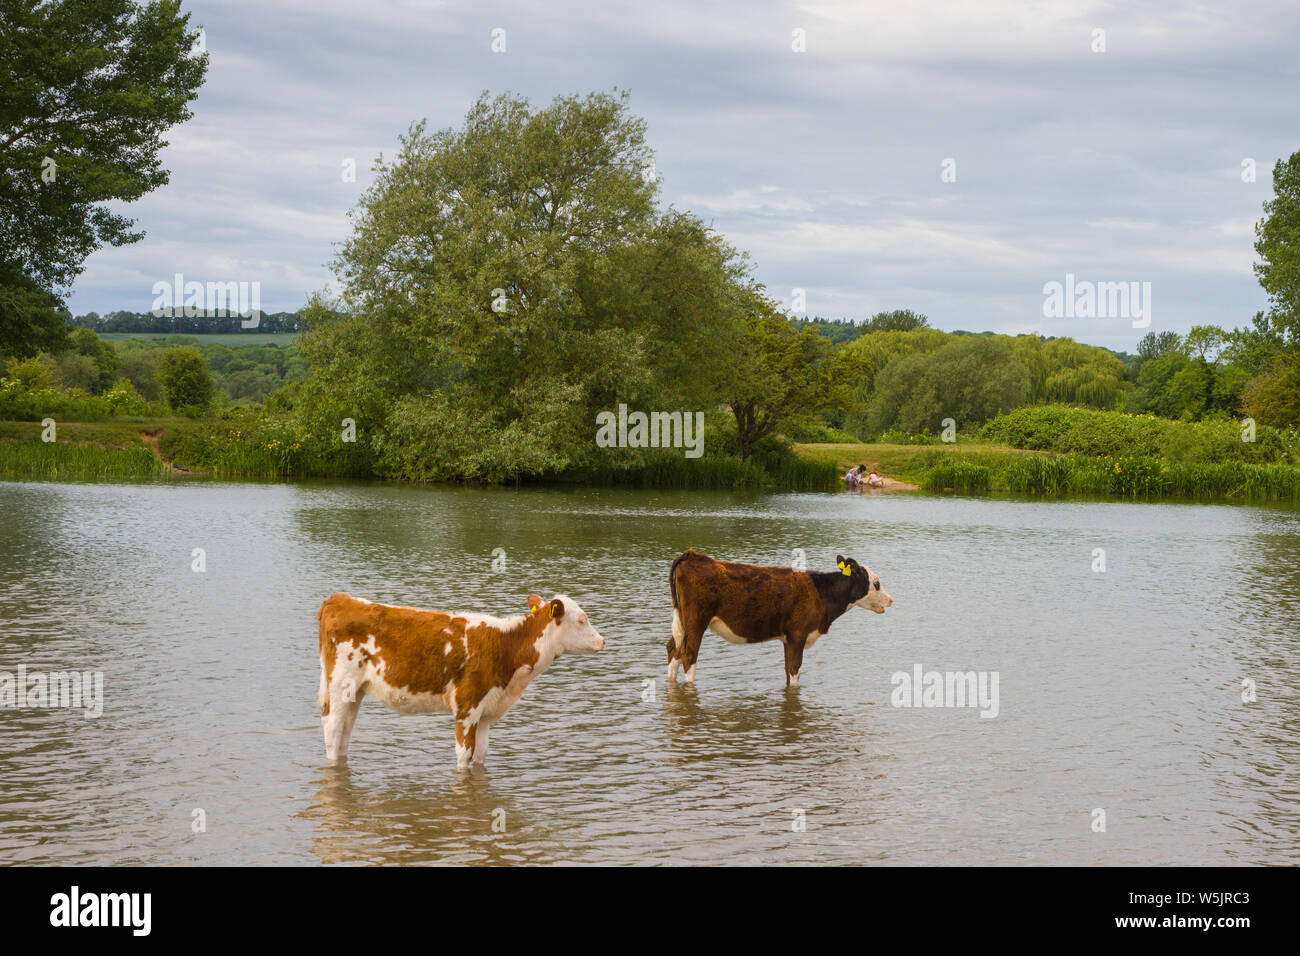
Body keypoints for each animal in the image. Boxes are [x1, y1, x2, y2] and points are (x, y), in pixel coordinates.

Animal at [319, 590, 603, 770]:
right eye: (582, 619)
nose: (602, 640)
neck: (506, 646)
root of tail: (339, 599)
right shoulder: (467, 706)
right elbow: (463, 754)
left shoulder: (487, 710)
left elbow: (481, 754)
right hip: (340, 685)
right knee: (333, 729)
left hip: (356, 691)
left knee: (345, 731)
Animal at [665, 548, 889, 686]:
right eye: (876, 583)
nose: (890, 600)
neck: (821, 591)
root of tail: (692, 557)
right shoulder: (798, 634)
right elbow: (794, 670)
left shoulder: (787, 638)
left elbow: (787, 670)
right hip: (696, 621)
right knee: (688, 655)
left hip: (682, 621)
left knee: (673, 649)